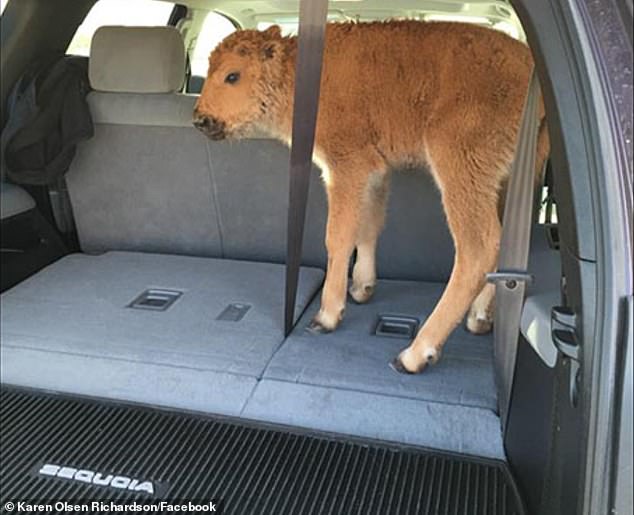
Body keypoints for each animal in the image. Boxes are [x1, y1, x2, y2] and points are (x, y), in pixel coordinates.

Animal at [193, 21, 548, 374]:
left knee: (478, 247)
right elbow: (368, 226)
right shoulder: (375, 172)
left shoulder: (346, 166)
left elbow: (338, 236)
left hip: (461, 166)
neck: (294, 74)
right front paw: (362, 288)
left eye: (232, 75)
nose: (200, 120)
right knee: (507, 241)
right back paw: (480, 317)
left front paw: (328, 314)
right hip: (511, 178)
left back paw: (415, 354)